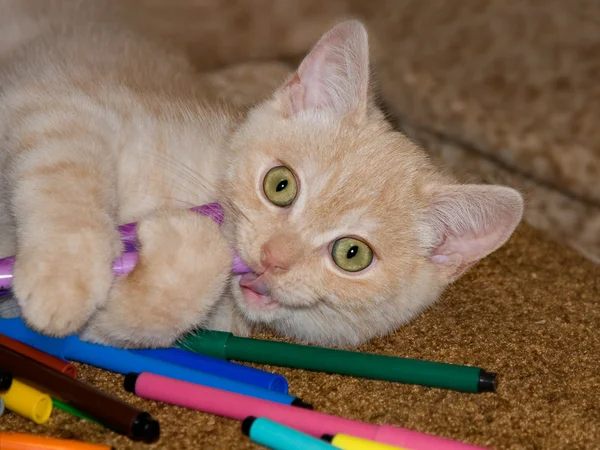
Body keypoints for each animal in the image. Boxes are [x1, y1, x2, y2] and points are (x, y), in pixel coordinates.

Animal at [0, 7, 524, 350]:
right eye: (280, 185)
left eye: (352, 255)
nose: (274, 258)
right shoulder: (60, 103)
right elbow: (65, 177)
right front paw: (62, 282)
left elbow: (128, 326)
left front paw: (186, 248)